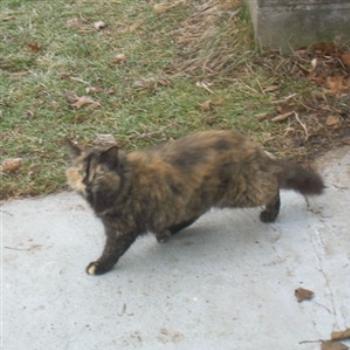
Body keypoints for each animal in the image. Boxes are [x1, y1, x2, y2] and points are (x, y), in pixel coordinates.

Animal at [65, 130, 322, 274]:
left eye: (98, 174)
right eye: (79, 172)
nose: (86, 183)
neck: (124, 180)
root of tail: (251, 145)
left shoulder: (121, 228)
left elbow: (112, 250)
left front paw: (99, 266)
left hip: (241, 192)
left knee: (272, 184)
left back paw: (271, 213)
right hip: (189, 198)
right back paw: (167, 231)